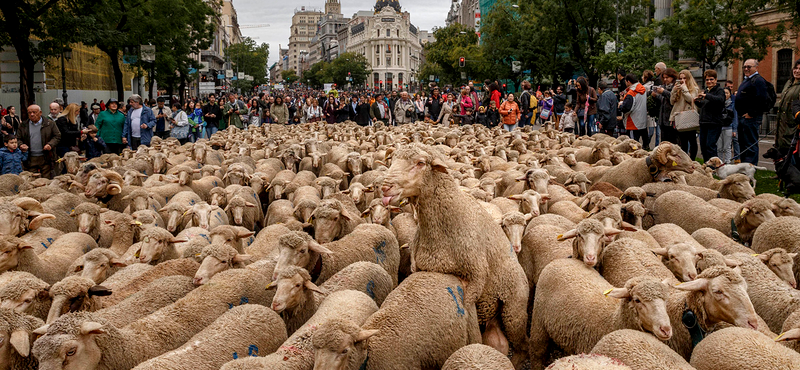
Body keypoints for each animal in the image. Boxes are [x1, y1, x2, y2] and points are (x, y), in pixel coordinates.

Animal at [532, 258, 676, 370]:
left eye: (666, 299)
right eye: (637, 300)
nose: (666, 329)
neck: (614, 319)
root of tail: (560, 260)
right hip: (538, 319)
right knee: (538, 351)